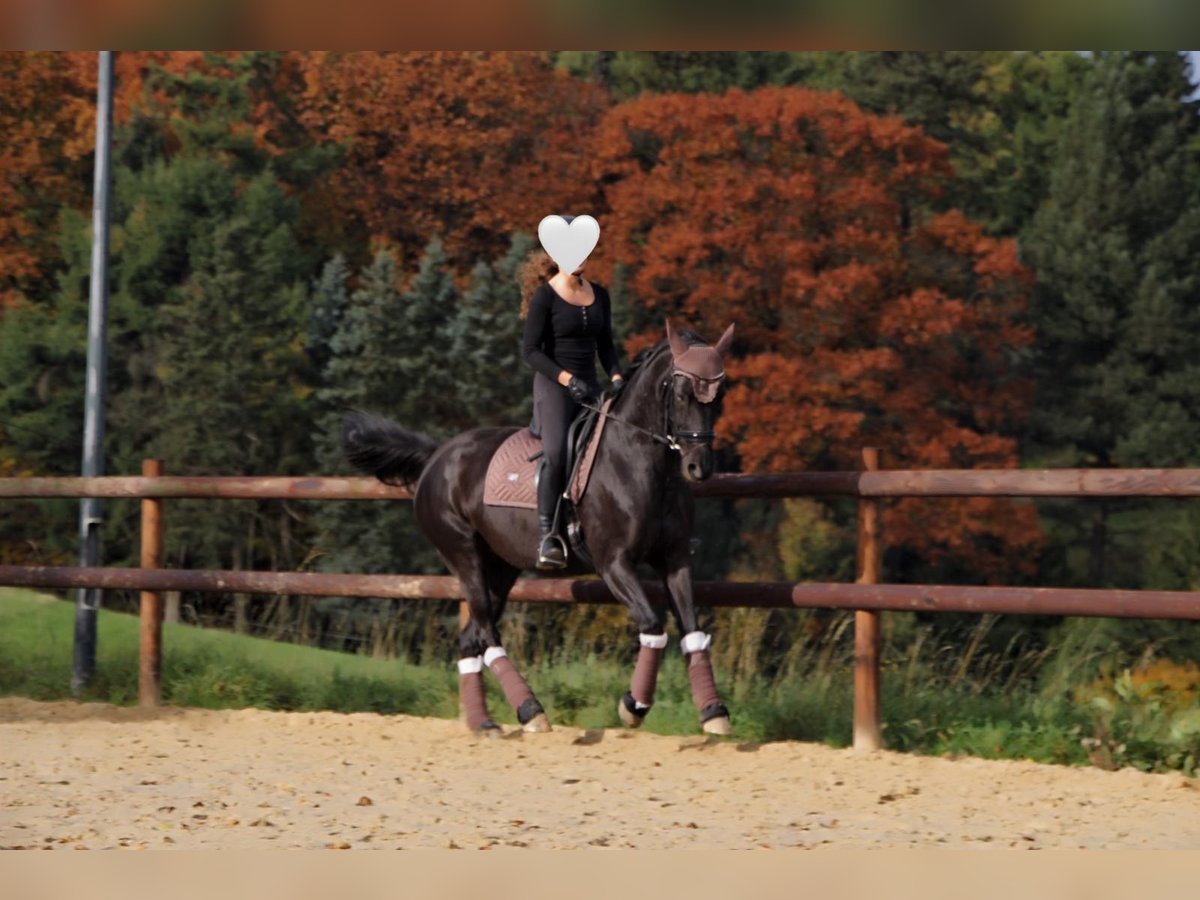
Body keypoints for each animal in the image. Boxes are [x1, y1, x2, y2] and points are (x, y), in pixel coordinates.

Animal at [342, 319, 735, 735]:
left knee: (470, 640)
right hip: (464, 555)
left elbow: (692, 629)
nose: (699, 468)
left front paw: (714, 712)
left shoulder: (674, 559)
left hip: (500, 568)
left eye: (719, 394)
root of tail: (437, 457)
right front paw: (634, 705)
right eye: (682, 393)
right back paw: (531, 710)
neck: (643, 463)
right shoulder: (614, 563)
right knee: (487, 631)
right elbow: (653, 625)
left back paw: (483, 723)